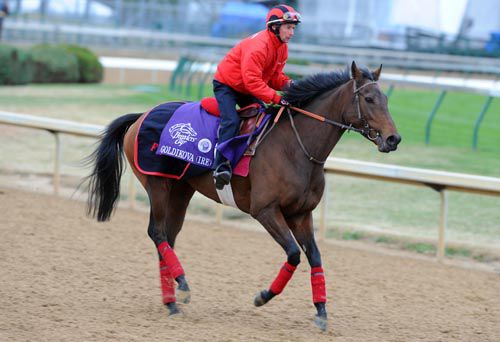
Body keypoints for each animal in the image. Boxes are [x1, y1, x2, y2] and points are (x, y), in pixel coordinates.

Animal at [85, 62, 398, 332]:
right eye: (369, 98)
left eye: (385, 99)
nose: (394, 139)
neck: (297, 148)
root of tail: (141, 116)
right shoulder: (265, 210)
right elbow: (294, 254)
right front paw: (263, 296)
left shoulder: (301, 214)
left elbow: (315, 257)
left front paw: (321, 313)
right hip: (157, 184)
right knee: (156, 233)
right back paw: (183, 287)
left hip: (181, 190)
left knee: (167, 237)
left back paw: (172, 301)